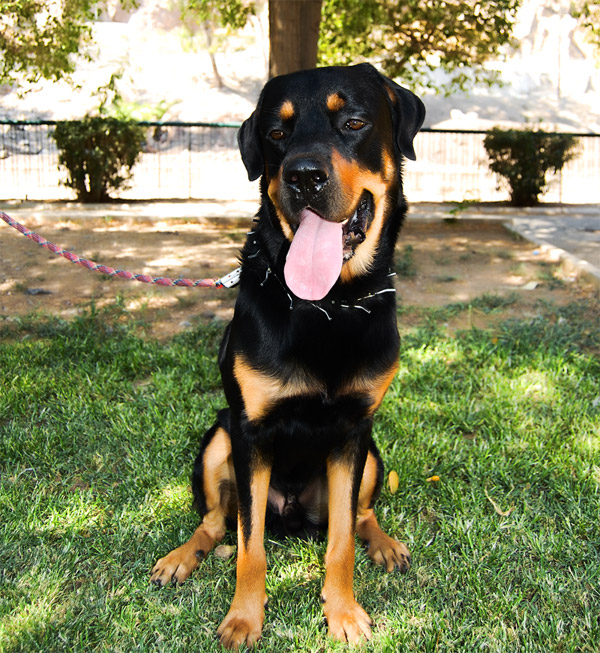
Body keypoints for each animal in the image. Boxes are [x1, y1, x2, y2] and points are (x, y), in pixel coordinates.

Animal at [150, 63, 424, 644]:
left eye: (354, 121)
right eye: (276, 133)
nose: (302, 176)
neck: (328, 305)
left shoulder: (352, 431)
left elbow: (341, 539)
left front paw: (342, 613)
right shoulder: (250, 431)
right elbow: (249, 545)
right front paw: (244, 617)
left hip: (372, 455)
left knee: (360, 515)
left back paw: (384, 543)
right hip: (217, 439)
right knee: (216, 522)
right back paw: (182, 557)